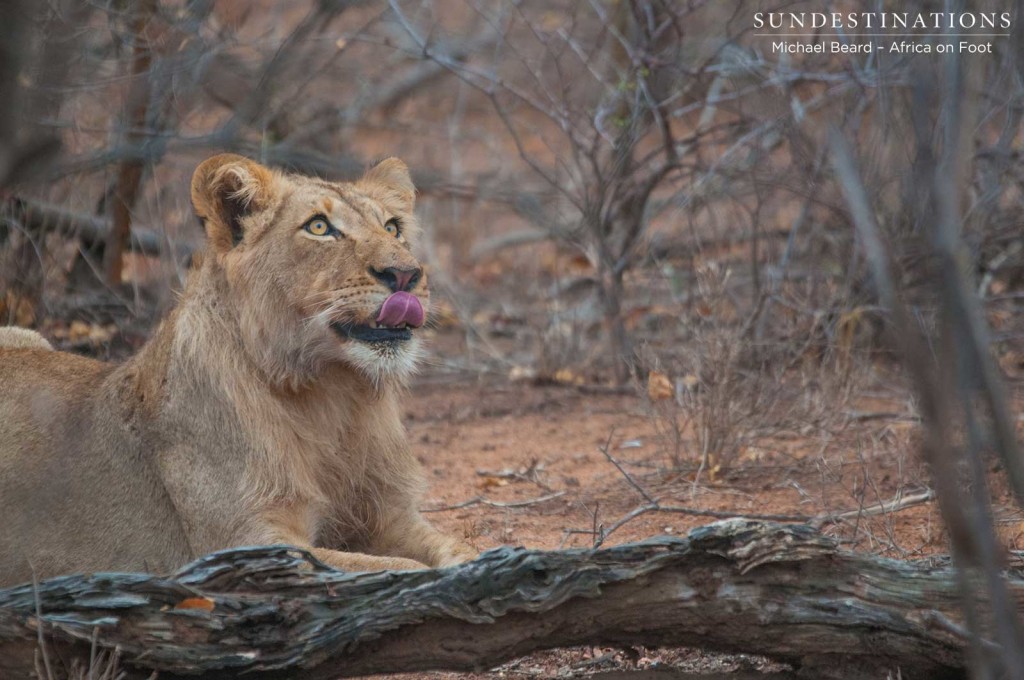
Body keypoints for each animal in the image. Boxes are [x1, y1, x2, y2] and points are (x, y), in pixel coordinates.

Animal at [0, 152, 477, 585]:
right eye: (319, 227)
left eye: (392, 227)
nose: (407, 274)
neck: (332, 396)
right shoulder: (246, 543)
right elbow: (396, 567)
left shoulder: (392, 516)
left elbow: (462, 549)